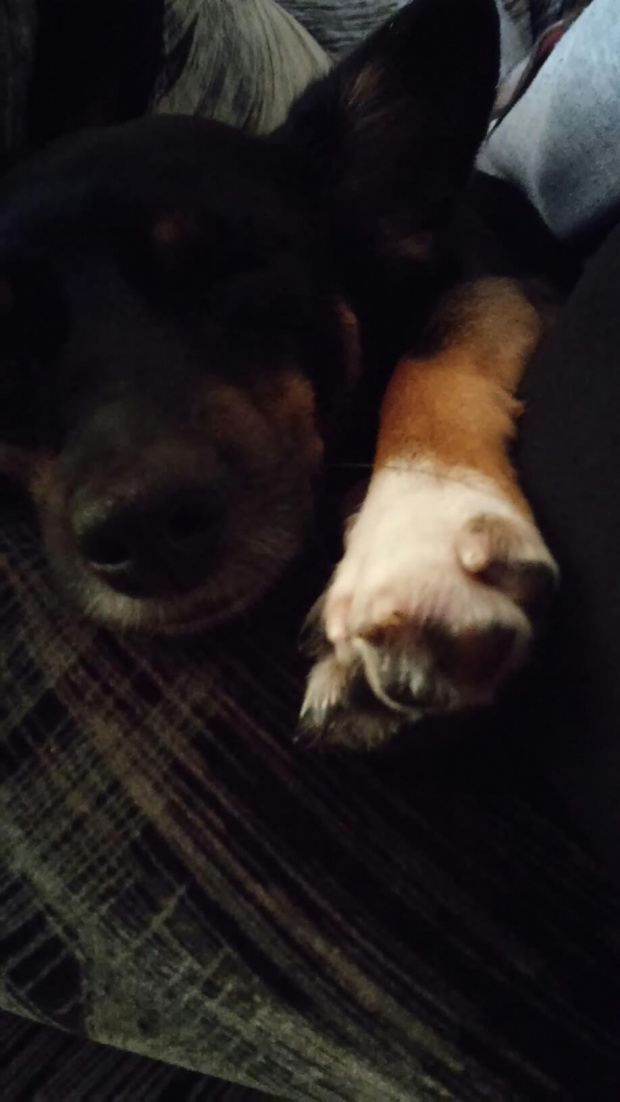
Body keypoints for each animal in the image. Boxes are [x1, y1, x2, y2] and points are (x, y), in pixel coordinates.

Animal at [0, 0, 562, 748]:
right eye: (4, 344)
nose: (142, 523)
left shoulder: (509, 285)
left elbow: (439, 342)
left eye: (235, 269)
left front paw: (417, 524)